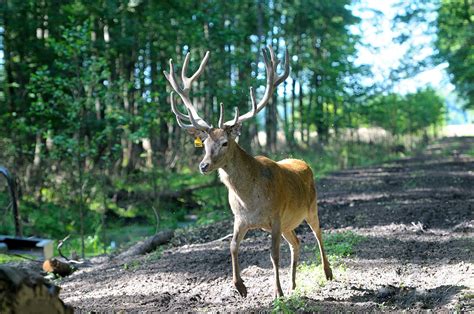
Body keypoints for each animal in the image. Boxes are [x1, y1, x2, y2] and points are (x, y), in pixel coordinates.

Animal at [163, 45, 334, 298]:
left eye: (225, 142)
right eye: (204, 144)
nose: (203, 166)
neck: (250, 198)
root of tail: (304, 163)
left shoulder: (275, 216)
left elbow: (274, 255)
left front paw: (277, 292)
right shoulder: (240, 219)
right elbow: (233, 246)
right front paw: (240, 286)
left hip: (310, 207)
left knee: (318, 233)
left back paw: (327, 273)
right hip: (288, 223)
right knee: (296, 242)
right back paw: (293, 285)